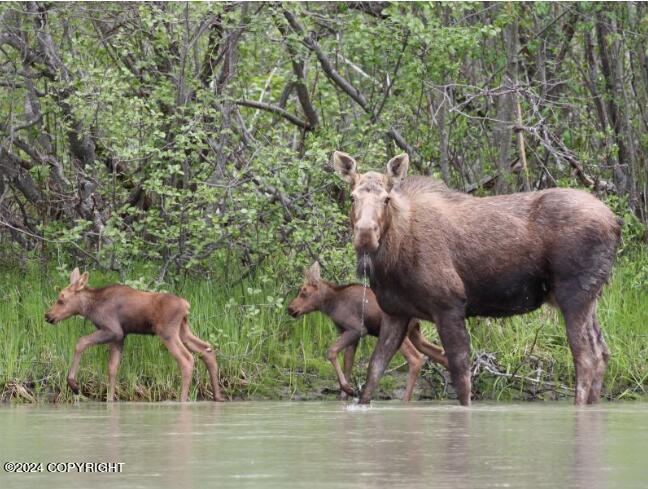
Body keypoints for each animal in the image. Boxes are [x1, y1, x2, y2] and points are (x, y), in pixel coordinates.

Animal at [44, 266, 224, 400]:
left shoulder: (113, 330)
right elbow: (113, 367)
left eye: (61, 300)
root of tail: (186, 305)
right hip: (183, 330)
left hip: (167, 332)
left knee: (187, 359)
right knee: (206, 350)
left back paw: (183, 399)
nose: (48, 316)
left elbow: (81, 341)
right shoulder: (121, 336)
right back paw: (217, 396)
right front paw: (110, 399)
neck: (90, 308)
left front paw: (73, 384)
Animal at [286, 264, 448, 400]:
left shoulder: (357, 329)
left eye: (304, 292)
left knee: (416, 358)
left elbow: (331, 351)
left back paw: (405, 401)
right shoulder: (347, 333)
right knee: (441, 355)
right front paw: (346, 393)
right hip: (415, 333)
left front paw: (349, 389)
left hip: (398, 332)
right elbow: (347, 365)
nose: (290, 308)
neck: (330, 305)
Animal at [332, 151, 620, 406]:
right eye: (352, 197)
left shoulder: (449, 304)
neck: (392, 262)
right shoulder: (395, 312)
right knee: (603, 351)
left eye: (386, 198)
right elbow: (373, 373)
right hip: (589, 297)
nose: (365, 234)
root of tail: (616, 222)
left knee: (587, 357)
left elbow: (462, 380)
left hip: (574, 294)